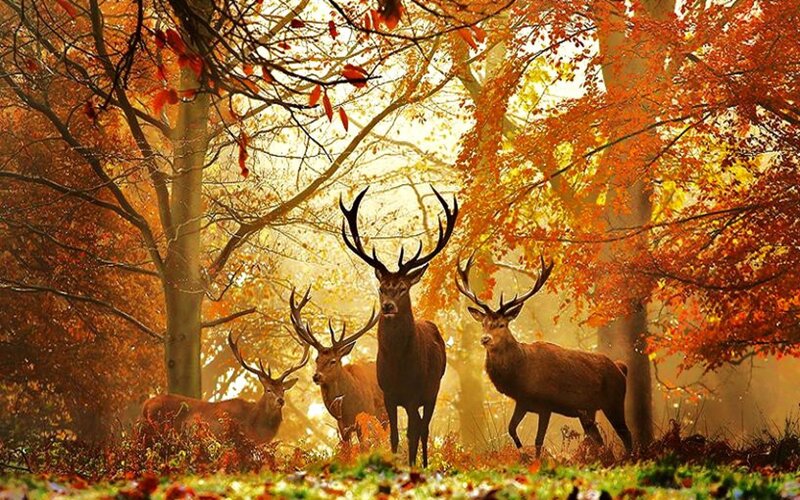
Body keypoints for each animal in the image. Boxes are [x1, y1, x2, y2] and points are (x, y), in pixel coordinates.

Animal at [289, 287, 387, 444]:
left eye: (333, 361)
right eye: (317, 359)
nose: (316, 376)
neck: (348, 408)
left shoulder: (365, 416)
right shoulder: (342, 426)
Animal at [340, 186, 457, 467]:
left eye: (403, 288)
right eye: (382, 288)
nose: (388, 306)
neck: (398, 365)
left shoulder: (415, 394)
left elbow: (412, 433)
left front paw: (413, 466)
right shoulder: (389, 395)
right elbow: (393, 435)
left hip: (433, 389)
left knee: (423, 429)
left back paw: (424, 464)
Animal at [455, 255, 633, 456]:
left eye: (502, 324)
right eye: (483, 323)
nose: (485, 339)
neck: (521, 374)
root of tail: (621, 368)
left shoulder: (546, 404)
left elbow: (538, 441)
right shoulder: (523, 401)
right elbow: (511, 429)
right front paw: (522, 453)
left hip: (614, 401)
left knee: (626, 434)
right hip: (588, 410)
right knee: (599, 439)